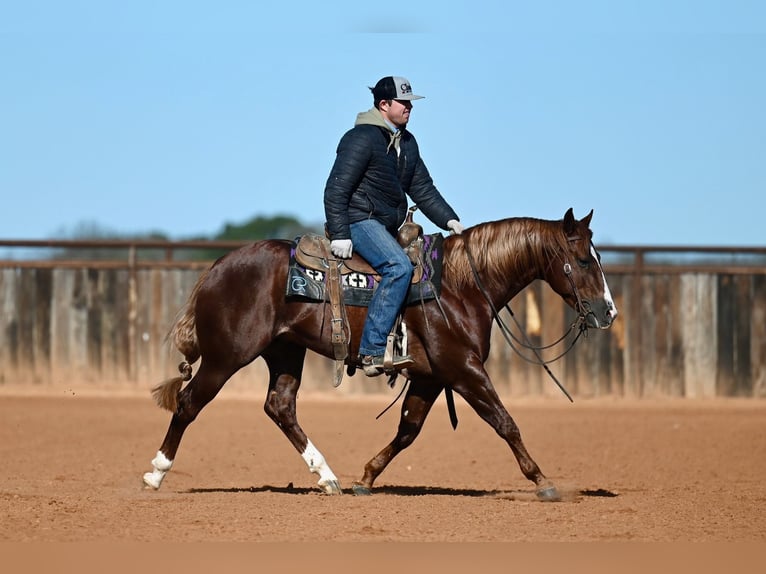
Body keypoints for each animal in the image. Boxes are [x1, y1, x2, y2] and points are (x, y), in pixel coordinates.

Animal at [143, 208, 617, 501]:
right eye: (583, 260)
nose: (608, 312)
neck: (460, 286)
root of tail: (216, 268)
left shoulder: (430, 377)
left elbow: (408, 430)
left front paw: (367, 477)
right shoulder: (464, 370)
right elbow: (505, 422)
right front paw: (543, 482)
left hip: (285, 352)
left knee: (280, 407)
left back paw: (328, 477)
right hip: (227, 356)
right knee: (188, 403)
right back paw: (155, 473)